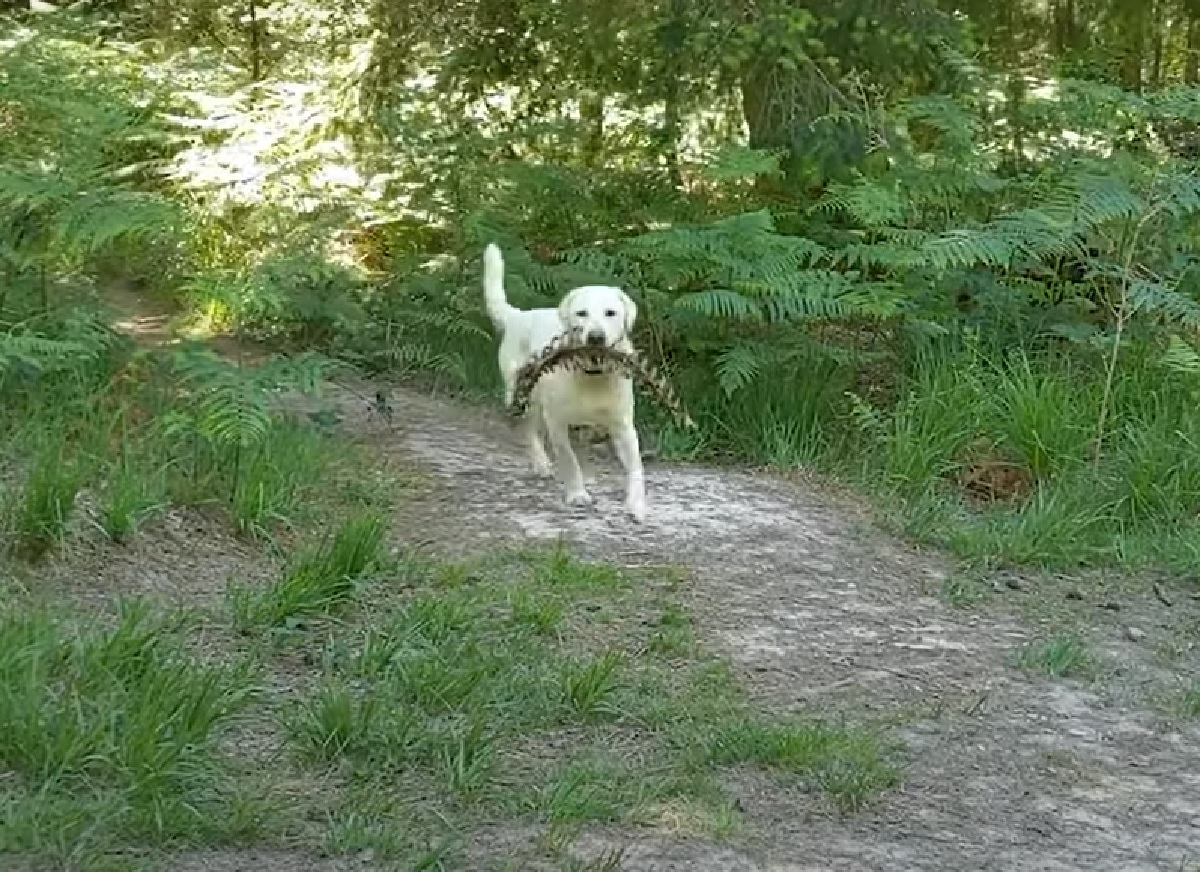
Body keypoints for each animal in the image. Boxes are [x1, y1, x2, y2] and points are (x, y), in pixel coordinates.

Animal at [482, 242, 648, 522]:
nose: (595, 336)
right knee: (528, 430)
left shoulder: (624, 425)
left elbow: (636, 467)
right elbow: (569, 460)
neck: (593, 376)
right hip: (528, 399)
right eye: (582, 314)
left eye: (611, 313)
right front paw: (577, 494)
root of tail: (518, 316)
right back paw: (540, 463)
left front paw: (636, 504)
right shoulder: (557, 422)